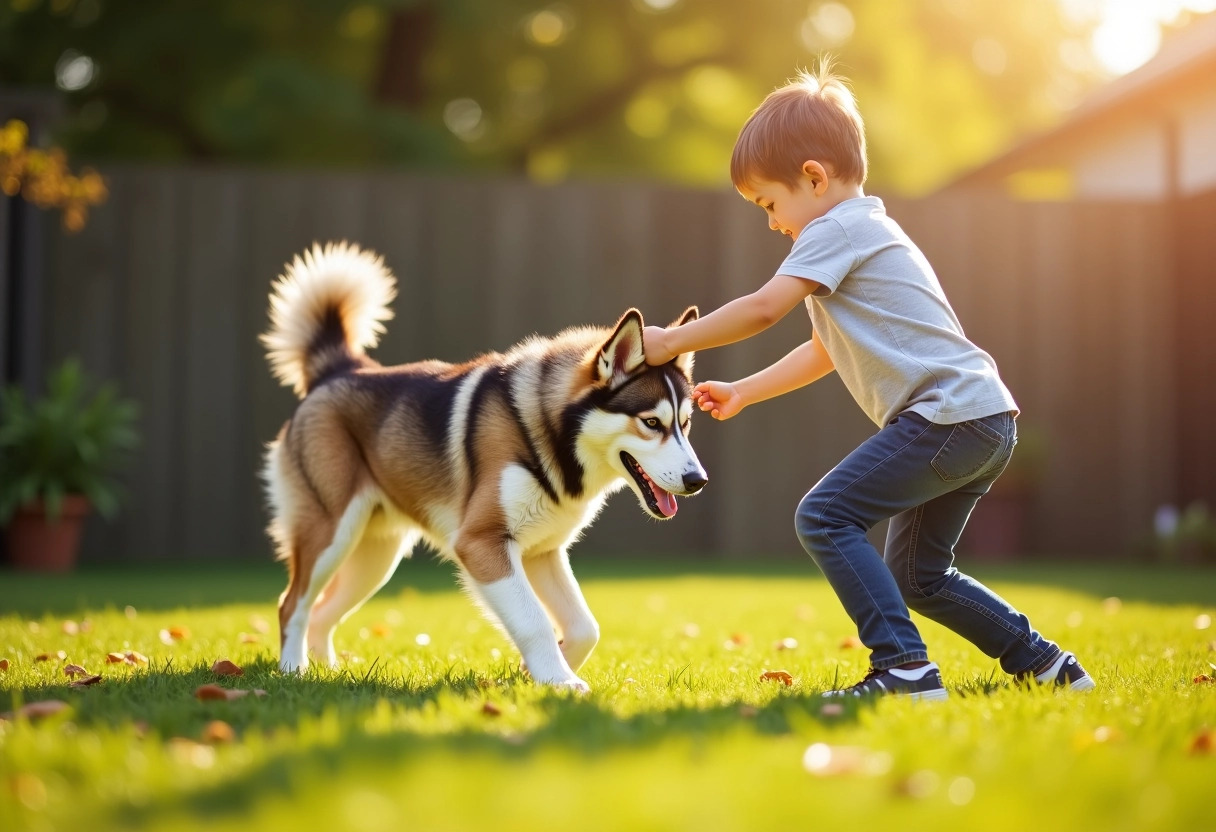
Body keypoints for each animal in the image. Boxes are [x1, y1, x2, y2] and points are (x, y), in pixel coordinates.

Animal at [261, 240, 710, 690]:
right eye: (651, 423)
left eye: (686, 423)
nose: (698, 480)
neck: (548, 436)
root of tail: (339, 368)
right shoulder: (481, 542)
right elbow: (534, 622)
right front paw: (559, 681)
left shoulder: (543, 551)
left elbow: (586, 628)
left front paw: (544, 668)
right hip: (329, 534)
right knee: (290, 604)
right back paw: (293, 670)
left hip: (376, 558)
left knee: (321, 611)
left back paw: (325, 670)